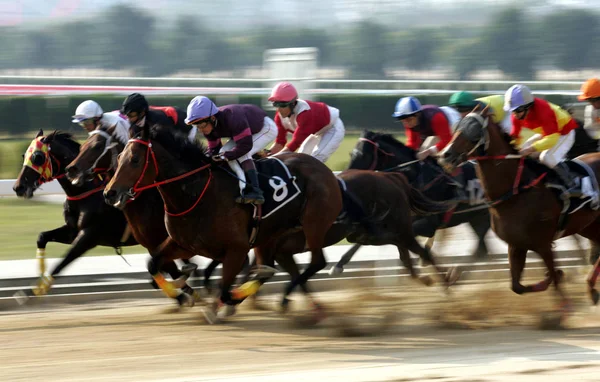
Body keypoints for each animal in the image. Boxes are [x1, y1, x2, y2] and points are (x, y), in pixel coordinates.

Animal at [12, 130, 138, 302]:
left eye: (38, 157)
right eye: (24, 155)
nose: (18, 187)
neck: (86, 191)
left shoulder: (90, 235)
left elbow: (62, 262)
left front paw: (31, 292)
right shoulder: (73, 230)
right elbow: (42, 236)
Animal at [436, 107, 600, 316]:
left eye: (473, 131)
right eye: (457, 126)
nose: (445, 155)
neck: (515, 192)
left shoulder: (543, 243)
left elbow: (553, 277)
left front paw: (564, 306)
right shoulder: (515, 244)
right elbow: (517, 287)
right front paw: (553, 277)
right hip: (589, 225)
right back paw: (591, 289)